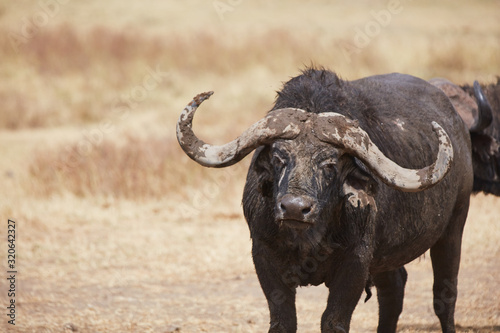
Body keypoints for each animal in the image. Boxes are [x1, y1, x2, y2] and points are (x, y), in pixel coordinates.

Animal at [178, 68, 474, 332]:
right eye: (278, 158)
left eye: (330, 165)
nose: (294, 208)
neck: (307, 238)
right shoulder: (263, 256)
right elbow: (283, 321)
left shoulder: (355, 263)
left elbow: (333, 321)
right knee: (393, 291)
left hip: (454, 226)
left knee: (444, 296)